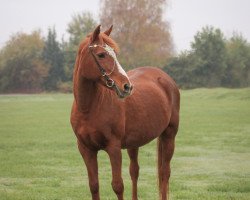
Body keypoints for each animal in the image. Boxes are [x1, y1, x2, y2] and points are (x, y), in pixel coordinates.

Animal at [70, 25, 180, 200]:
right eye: (101, 54)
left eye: (115, 53)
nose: (127, 87)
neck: (88, 108)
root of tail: (164, 78)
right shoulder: (86, 149)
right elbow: (94, 186)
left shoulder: (113, 148)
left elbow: (117, 186)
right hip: (134, 143)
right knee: (134, 171)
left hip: (169, 135)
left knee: (164, 172)